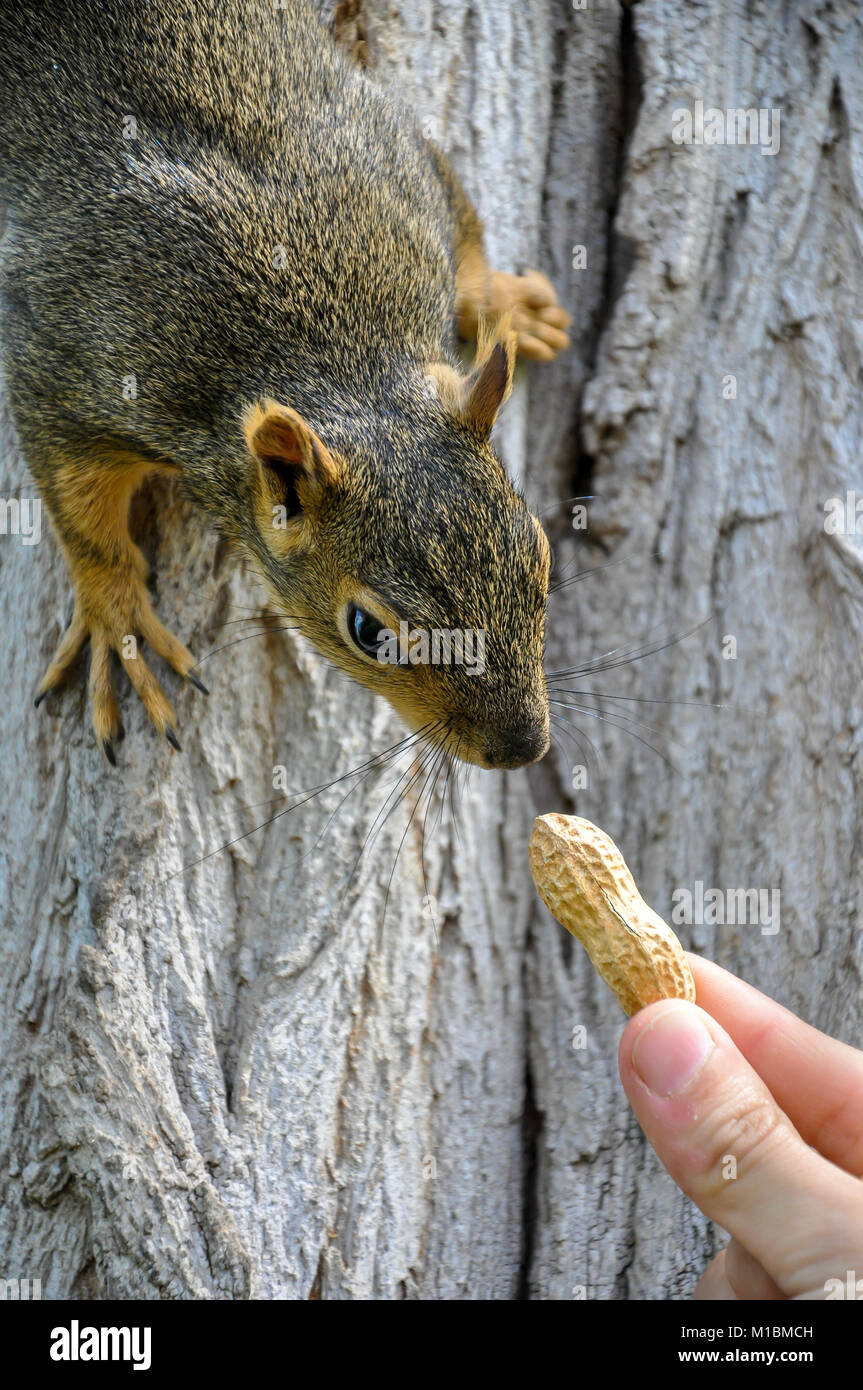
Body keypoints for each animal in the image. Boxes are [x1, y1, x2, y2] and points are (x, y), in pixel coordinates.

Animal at [0, 0, 570, 771]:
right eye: (368, 631)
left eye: (538, 554)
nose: (520, 748)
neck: (338, 351)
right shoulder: (68, 357)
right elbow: (82, 514)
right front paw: (118, 624)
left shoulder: (405, 166)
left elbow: (468, 244)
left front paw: (513, 306)